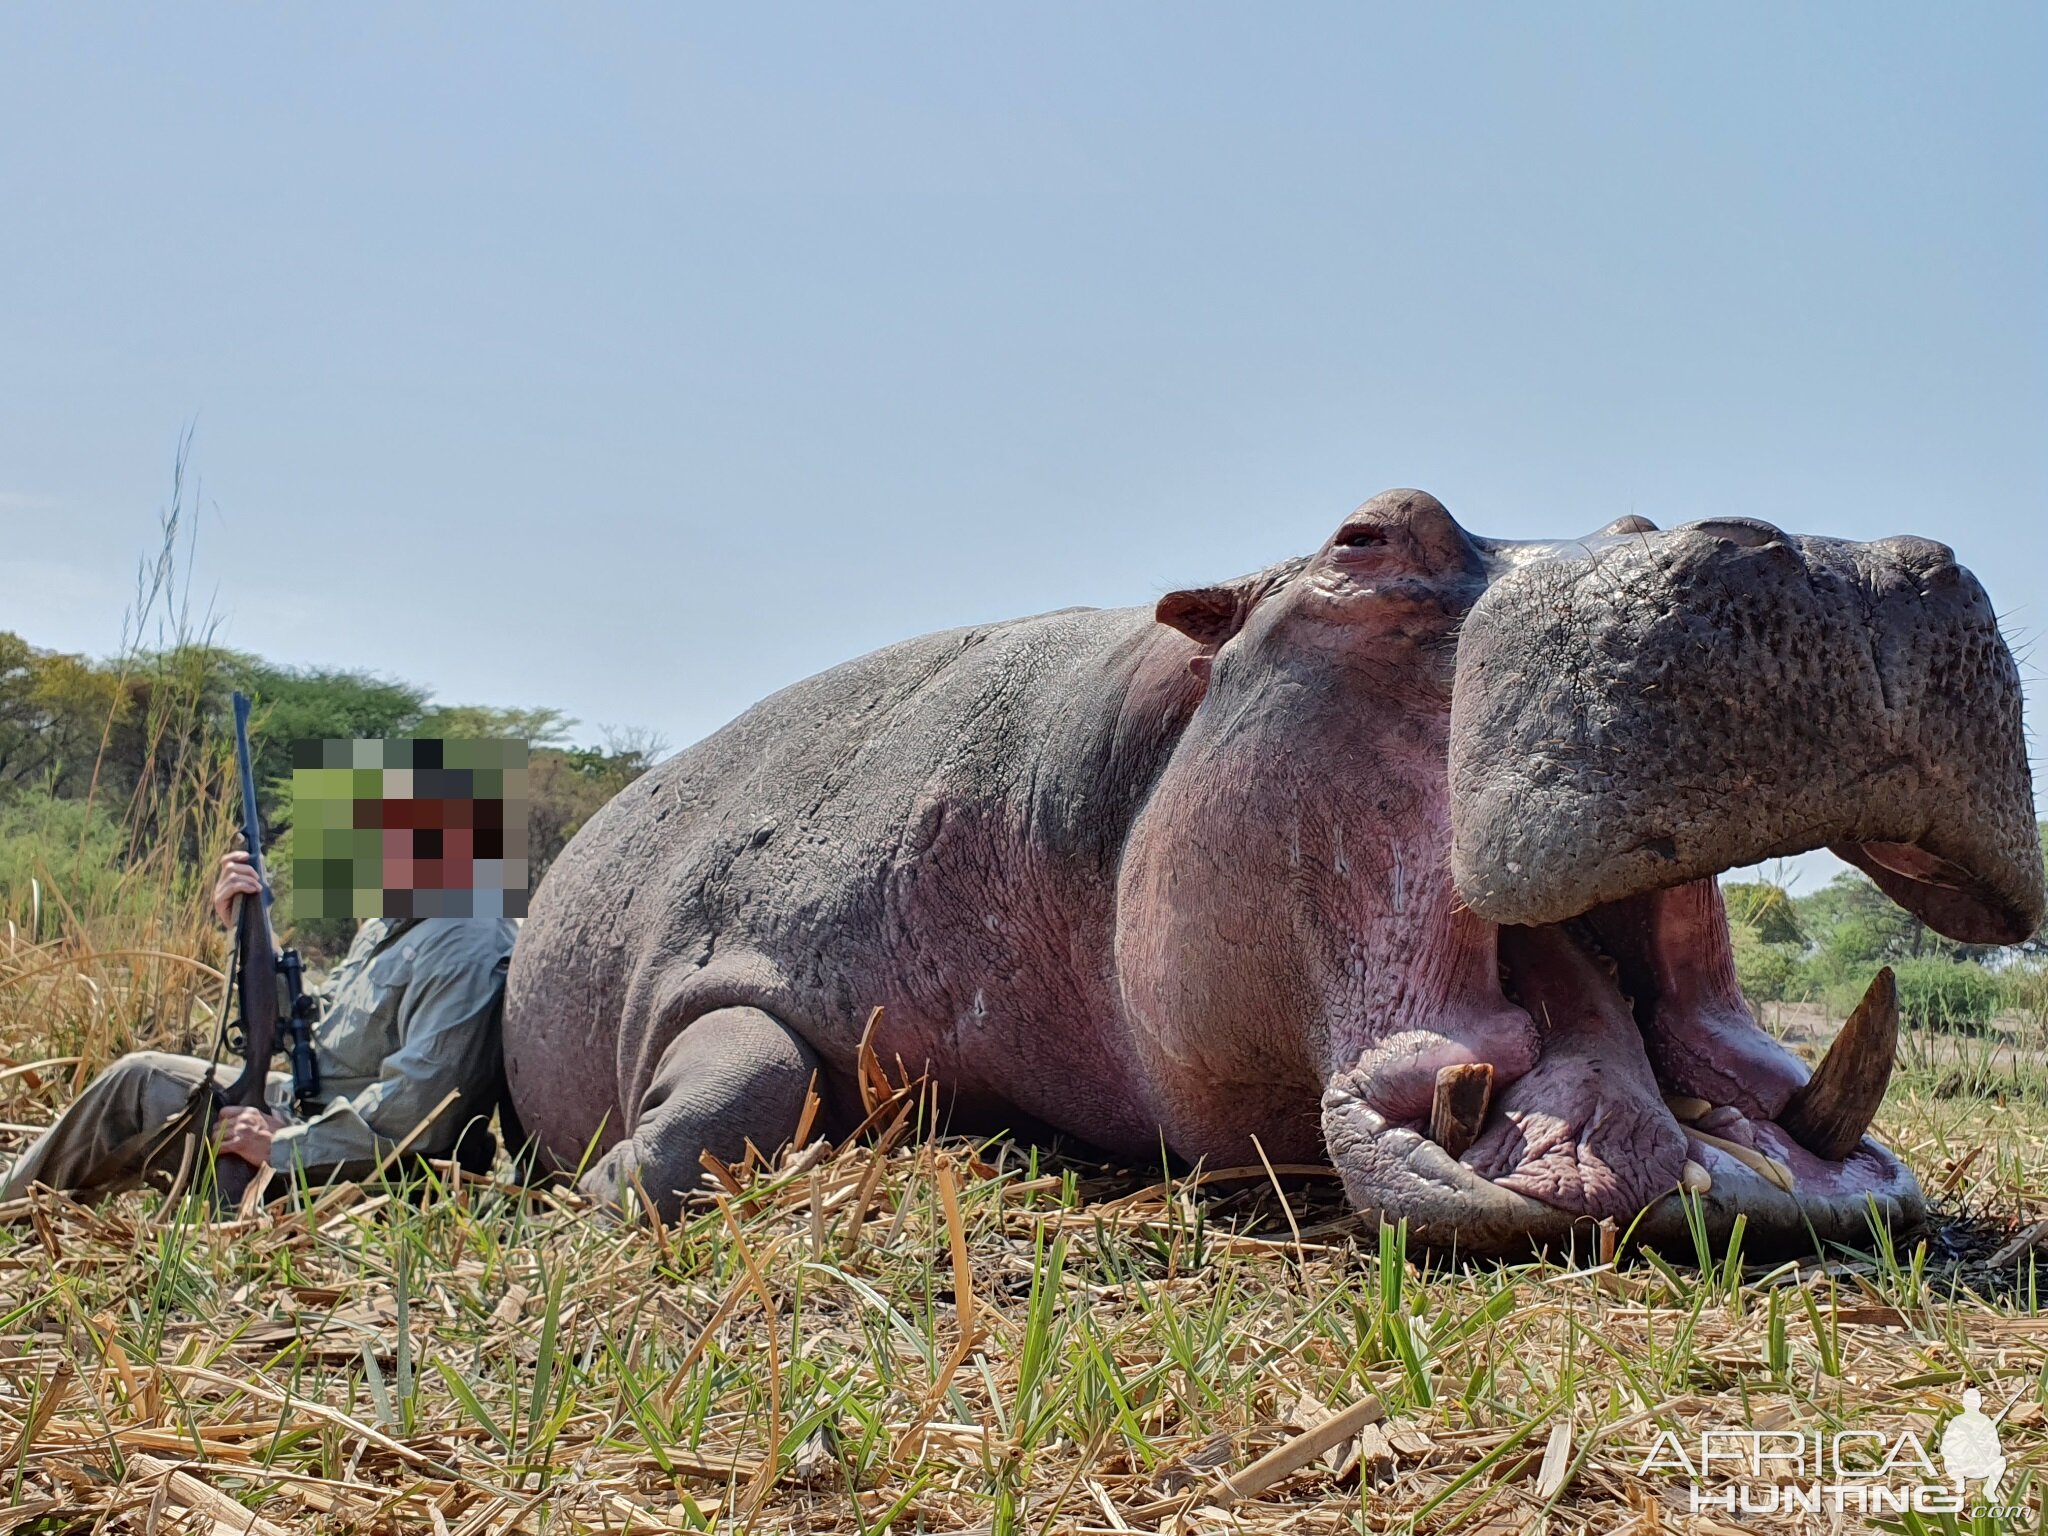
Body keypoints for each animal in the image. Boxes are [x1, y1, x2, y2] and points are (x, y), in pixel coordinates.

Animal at [503, 499, 2039, 1253]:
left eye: (1643, 511)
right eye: (1367, 535)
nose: (1839, 565)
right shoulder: (743, 952)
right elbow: (744, 1066)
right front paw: (601, 1192)